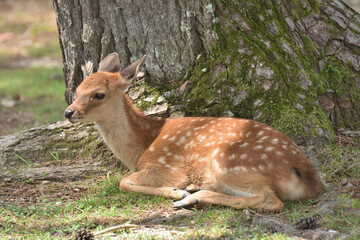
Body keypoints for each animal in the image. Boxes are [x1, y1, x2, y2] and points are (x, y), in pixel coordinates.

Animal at [65, 53, 324, 212]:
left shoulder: (167, 167)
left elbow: (123, 181)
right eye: (77, 90)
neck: (140, 146)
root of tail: (305, 175)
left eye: (99, 94)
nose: (69, 112)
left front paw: (177, 191)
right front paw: (183, 190)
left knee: (271, 200)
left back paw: (191, 197)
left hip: (229, 163)